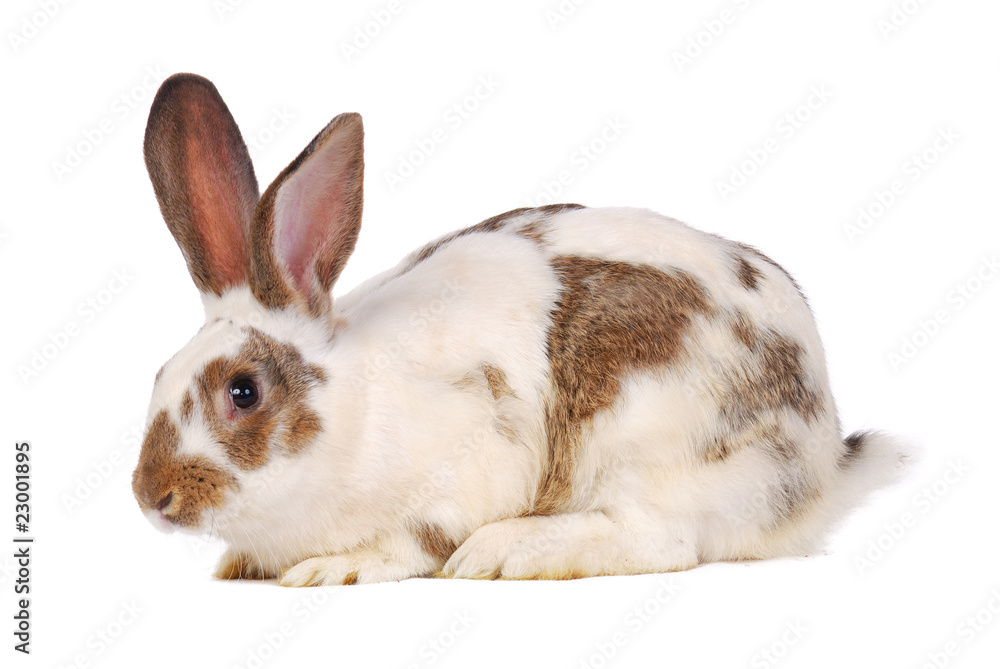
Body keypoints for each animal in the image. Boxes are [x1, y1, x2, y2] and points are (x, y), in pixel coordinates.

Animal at [131, 73, 910, 586]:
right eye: (157, 373)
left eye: (242, 391)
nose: (150, 497)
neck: (354, 403)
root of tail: (819, 463)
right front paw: (238, 565)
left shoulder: (474, 450)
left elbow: (418, 539)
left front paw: (335, 565)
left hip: (644, 434)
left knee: (661, 540)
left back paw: (509, 550)